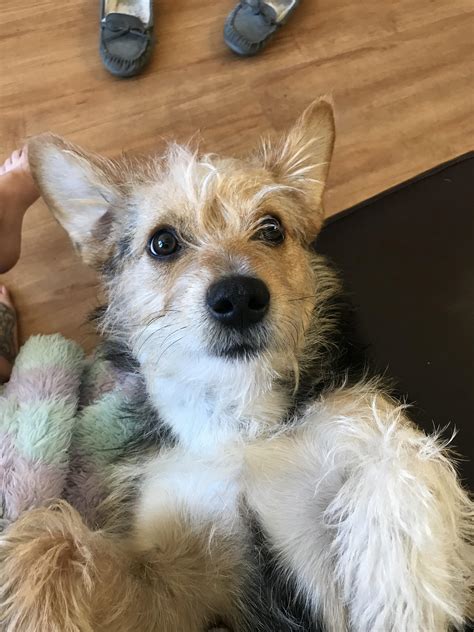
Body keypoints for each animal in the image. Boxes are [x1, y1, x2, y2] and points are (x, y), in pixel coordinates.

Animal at [1, 100, 472, 632]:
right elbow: (47, 543)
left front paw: (399, 595)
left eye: (272, 229)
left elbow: (401, 459)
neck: (236, 421)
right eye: (162, 242)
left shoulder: (360, 420)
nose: (240, 297)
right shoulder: (177, 584)